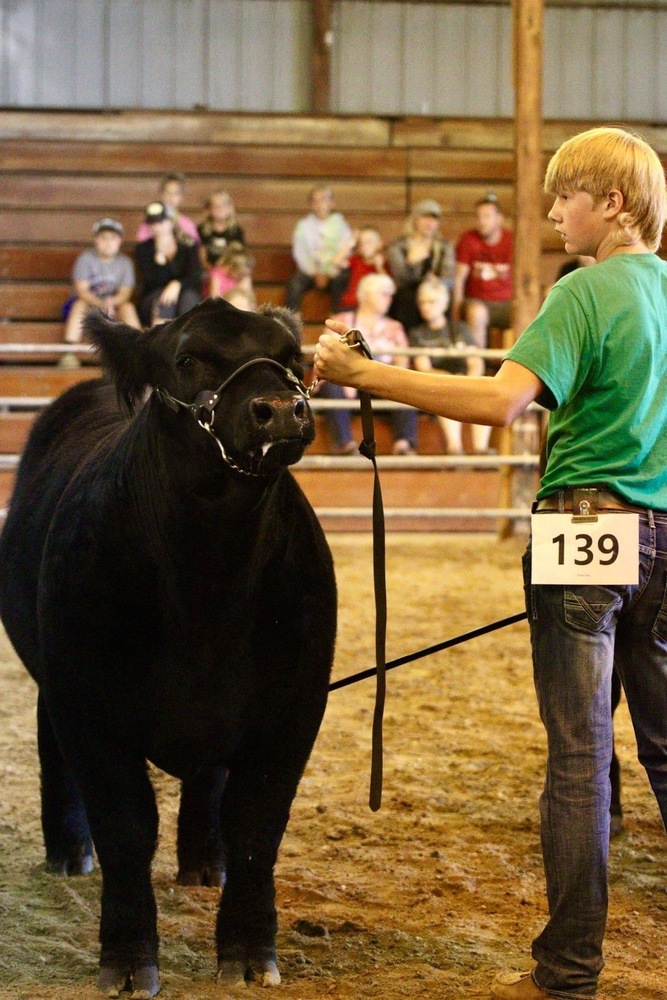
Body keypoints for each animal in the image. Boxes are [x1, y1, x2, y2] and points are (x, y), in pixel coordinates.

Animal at [0, 300, 336, 996]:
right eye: (187, 359)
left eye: (291, 356)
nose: (280, 408)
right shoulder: (91, 708)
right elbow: (126, 828)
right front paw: (128, 960)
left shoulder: (291, 710)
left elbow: (256, 824)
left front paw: (249, 951)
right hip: (52, 679)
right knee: (51, 748)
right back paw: (68, 852)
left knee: (209, 784)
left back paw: (206, 864)